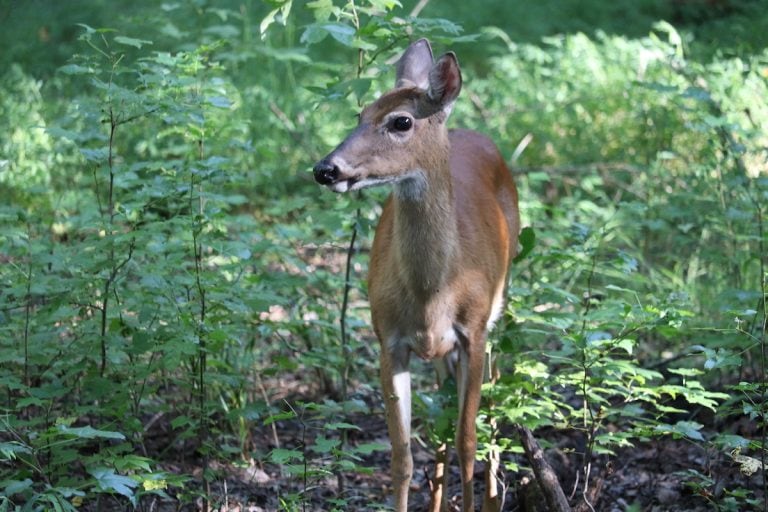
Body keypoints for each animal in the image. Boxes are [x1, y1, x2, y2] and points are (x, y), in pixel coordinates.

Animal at [313, 38, 520, 511]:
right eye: (361, 114)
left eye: (401, 121)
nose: (326, 169)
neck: (433, 291)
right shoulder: (388, 339)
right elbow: (402, 455)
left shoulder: (473, 332)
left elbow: (467, 441)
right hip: (441, 352)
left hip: (499, 307)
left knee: (489, 410)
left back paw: (493, 496)